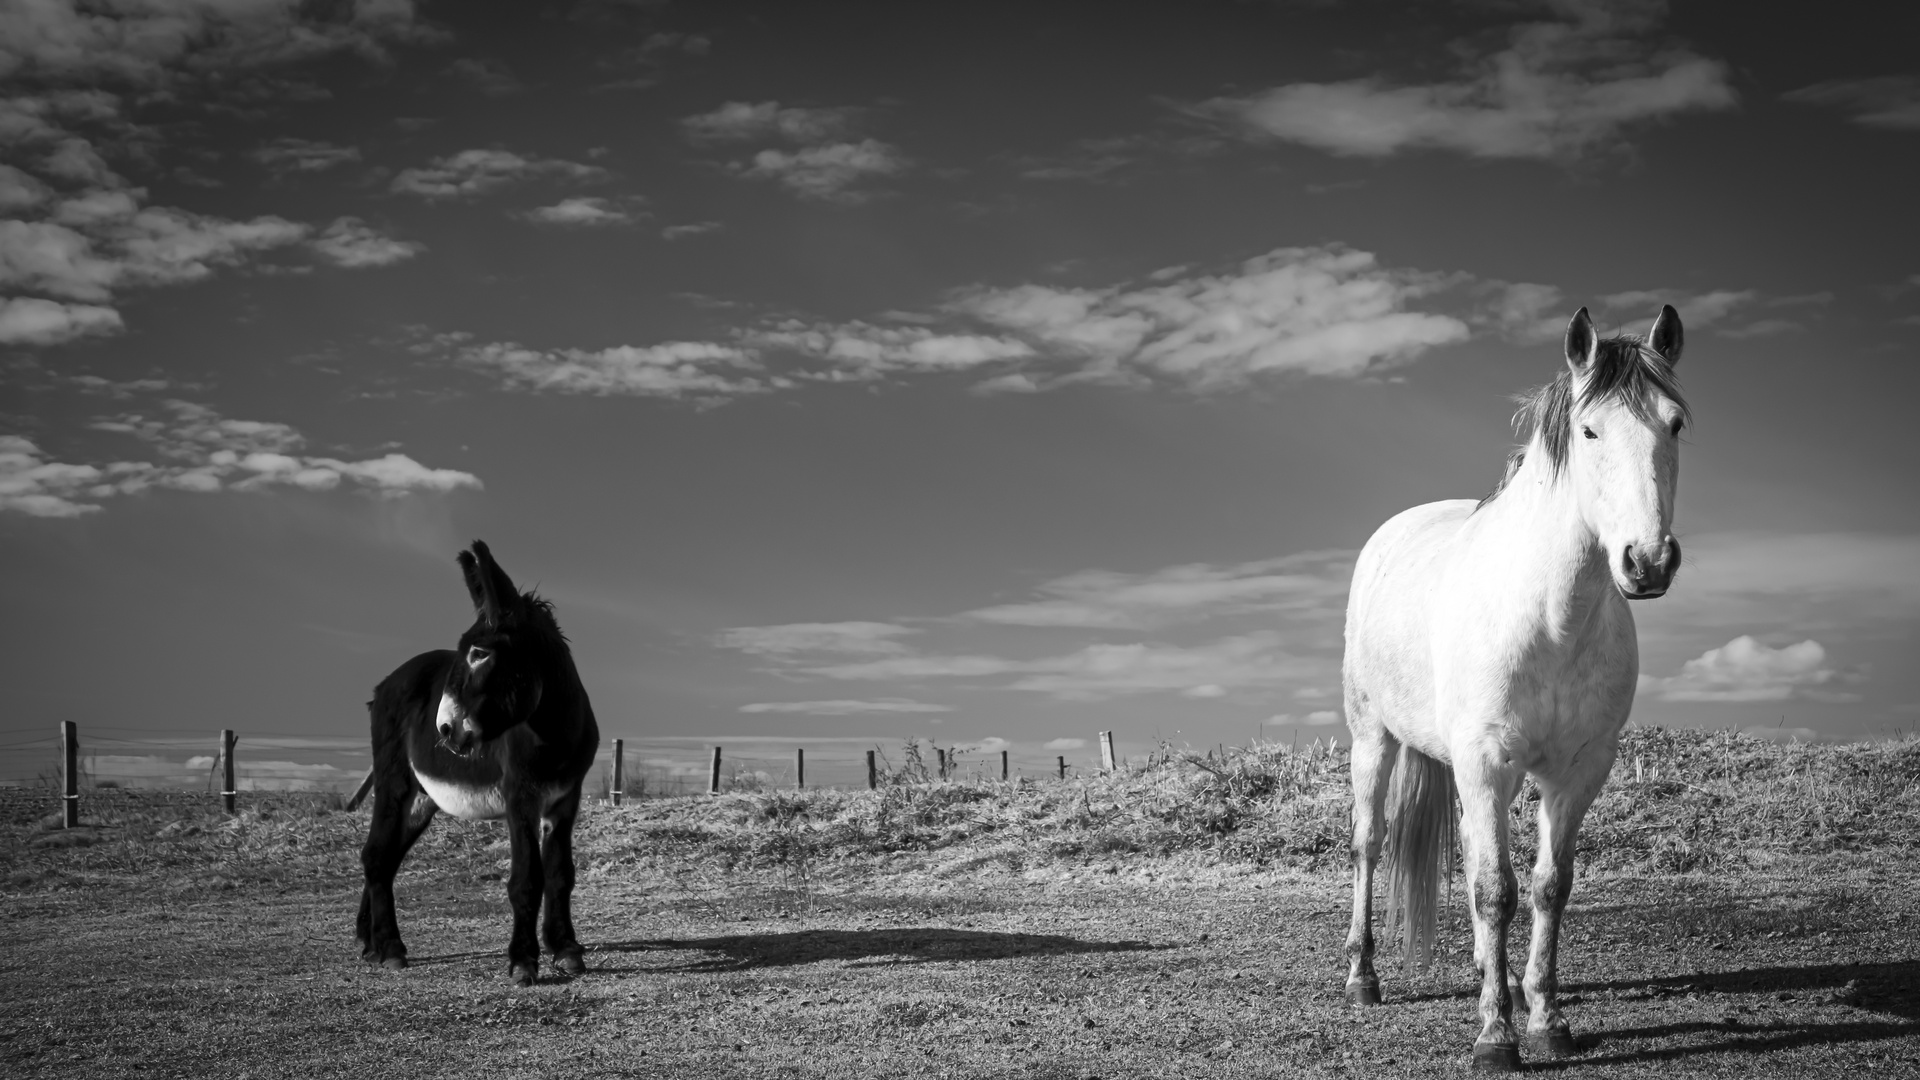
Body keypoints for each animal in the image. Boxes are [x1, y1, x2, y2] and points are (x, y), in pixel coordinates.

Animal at [1344, 303, 1689, 1068]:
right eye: (1590, 431)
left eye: (1676, 422)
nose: (1648, 562)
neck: (1549, 617)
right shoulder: (1485, 760)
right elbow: (1495, 890)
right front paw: (1496, 1036)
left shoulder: (1578, 771)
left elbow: (1547, 888)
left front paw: (1546, 1018)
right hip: (1373, 740)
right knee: (1370, 843)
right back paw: (1362, 975)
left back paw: (1487, 971)